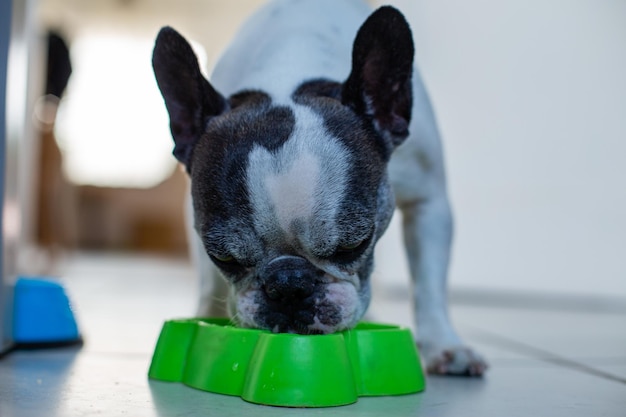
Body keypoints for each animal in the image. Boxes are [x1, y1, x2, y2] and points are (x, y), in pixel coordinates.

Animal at [152, 0, 488, 376]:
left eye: (355, 245)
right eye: (224, 256)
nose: (288, 285)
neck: (290, 71)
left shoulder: (427, 201)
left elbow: (429, 284)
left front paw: (444, 346)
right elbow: (207, 280)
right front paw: (204, 322)